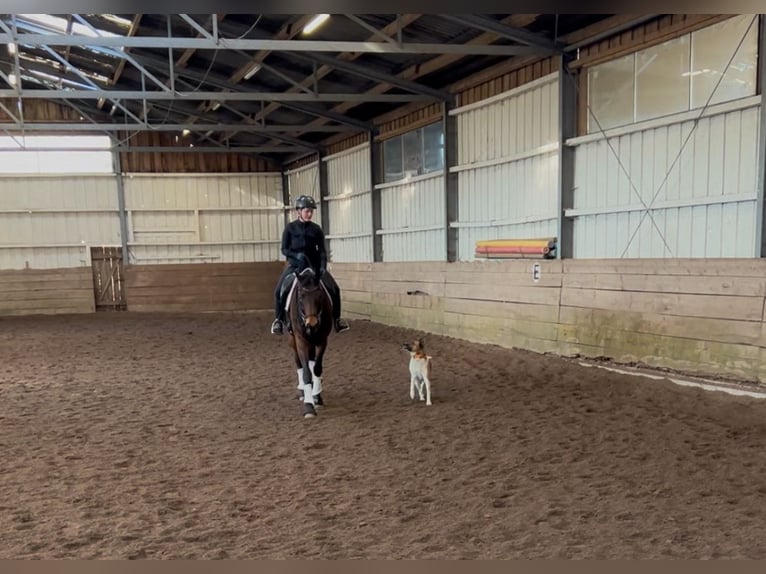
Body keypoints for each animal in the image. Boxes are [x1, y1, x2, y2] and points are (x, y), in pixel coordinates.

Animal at [286, 268, 334, 420]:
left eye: (319, 295)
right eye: (301, 297)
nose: (311, 324)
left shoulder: (322, 340)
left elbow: (317, 368)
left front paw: (317, 397)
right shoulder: (301, 341)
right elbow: (306, 372)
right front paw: (308, 407)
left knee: (312, 361)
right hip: (293, 340)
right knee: (299, 363)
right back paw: (302, 391)